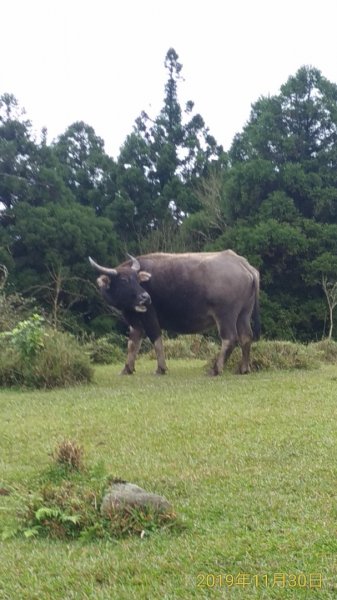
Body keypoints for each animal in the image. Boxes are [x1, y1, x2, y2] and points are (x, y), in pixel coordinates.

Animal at [88, 252, 260, 376]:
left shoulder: (149, 316)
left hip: (225, 315)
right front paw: (127, 369)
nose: (146, 297)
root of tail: (243, 264)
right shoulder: (135, 321)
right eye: (124, 280)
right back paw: (243, 369)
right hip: (244, 314)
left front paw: (161, 368)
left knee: (229, 338)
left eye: (137, 279)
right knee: (246, 337)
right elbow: (132, 344)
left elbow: (156, 339)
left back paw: (215, 369)